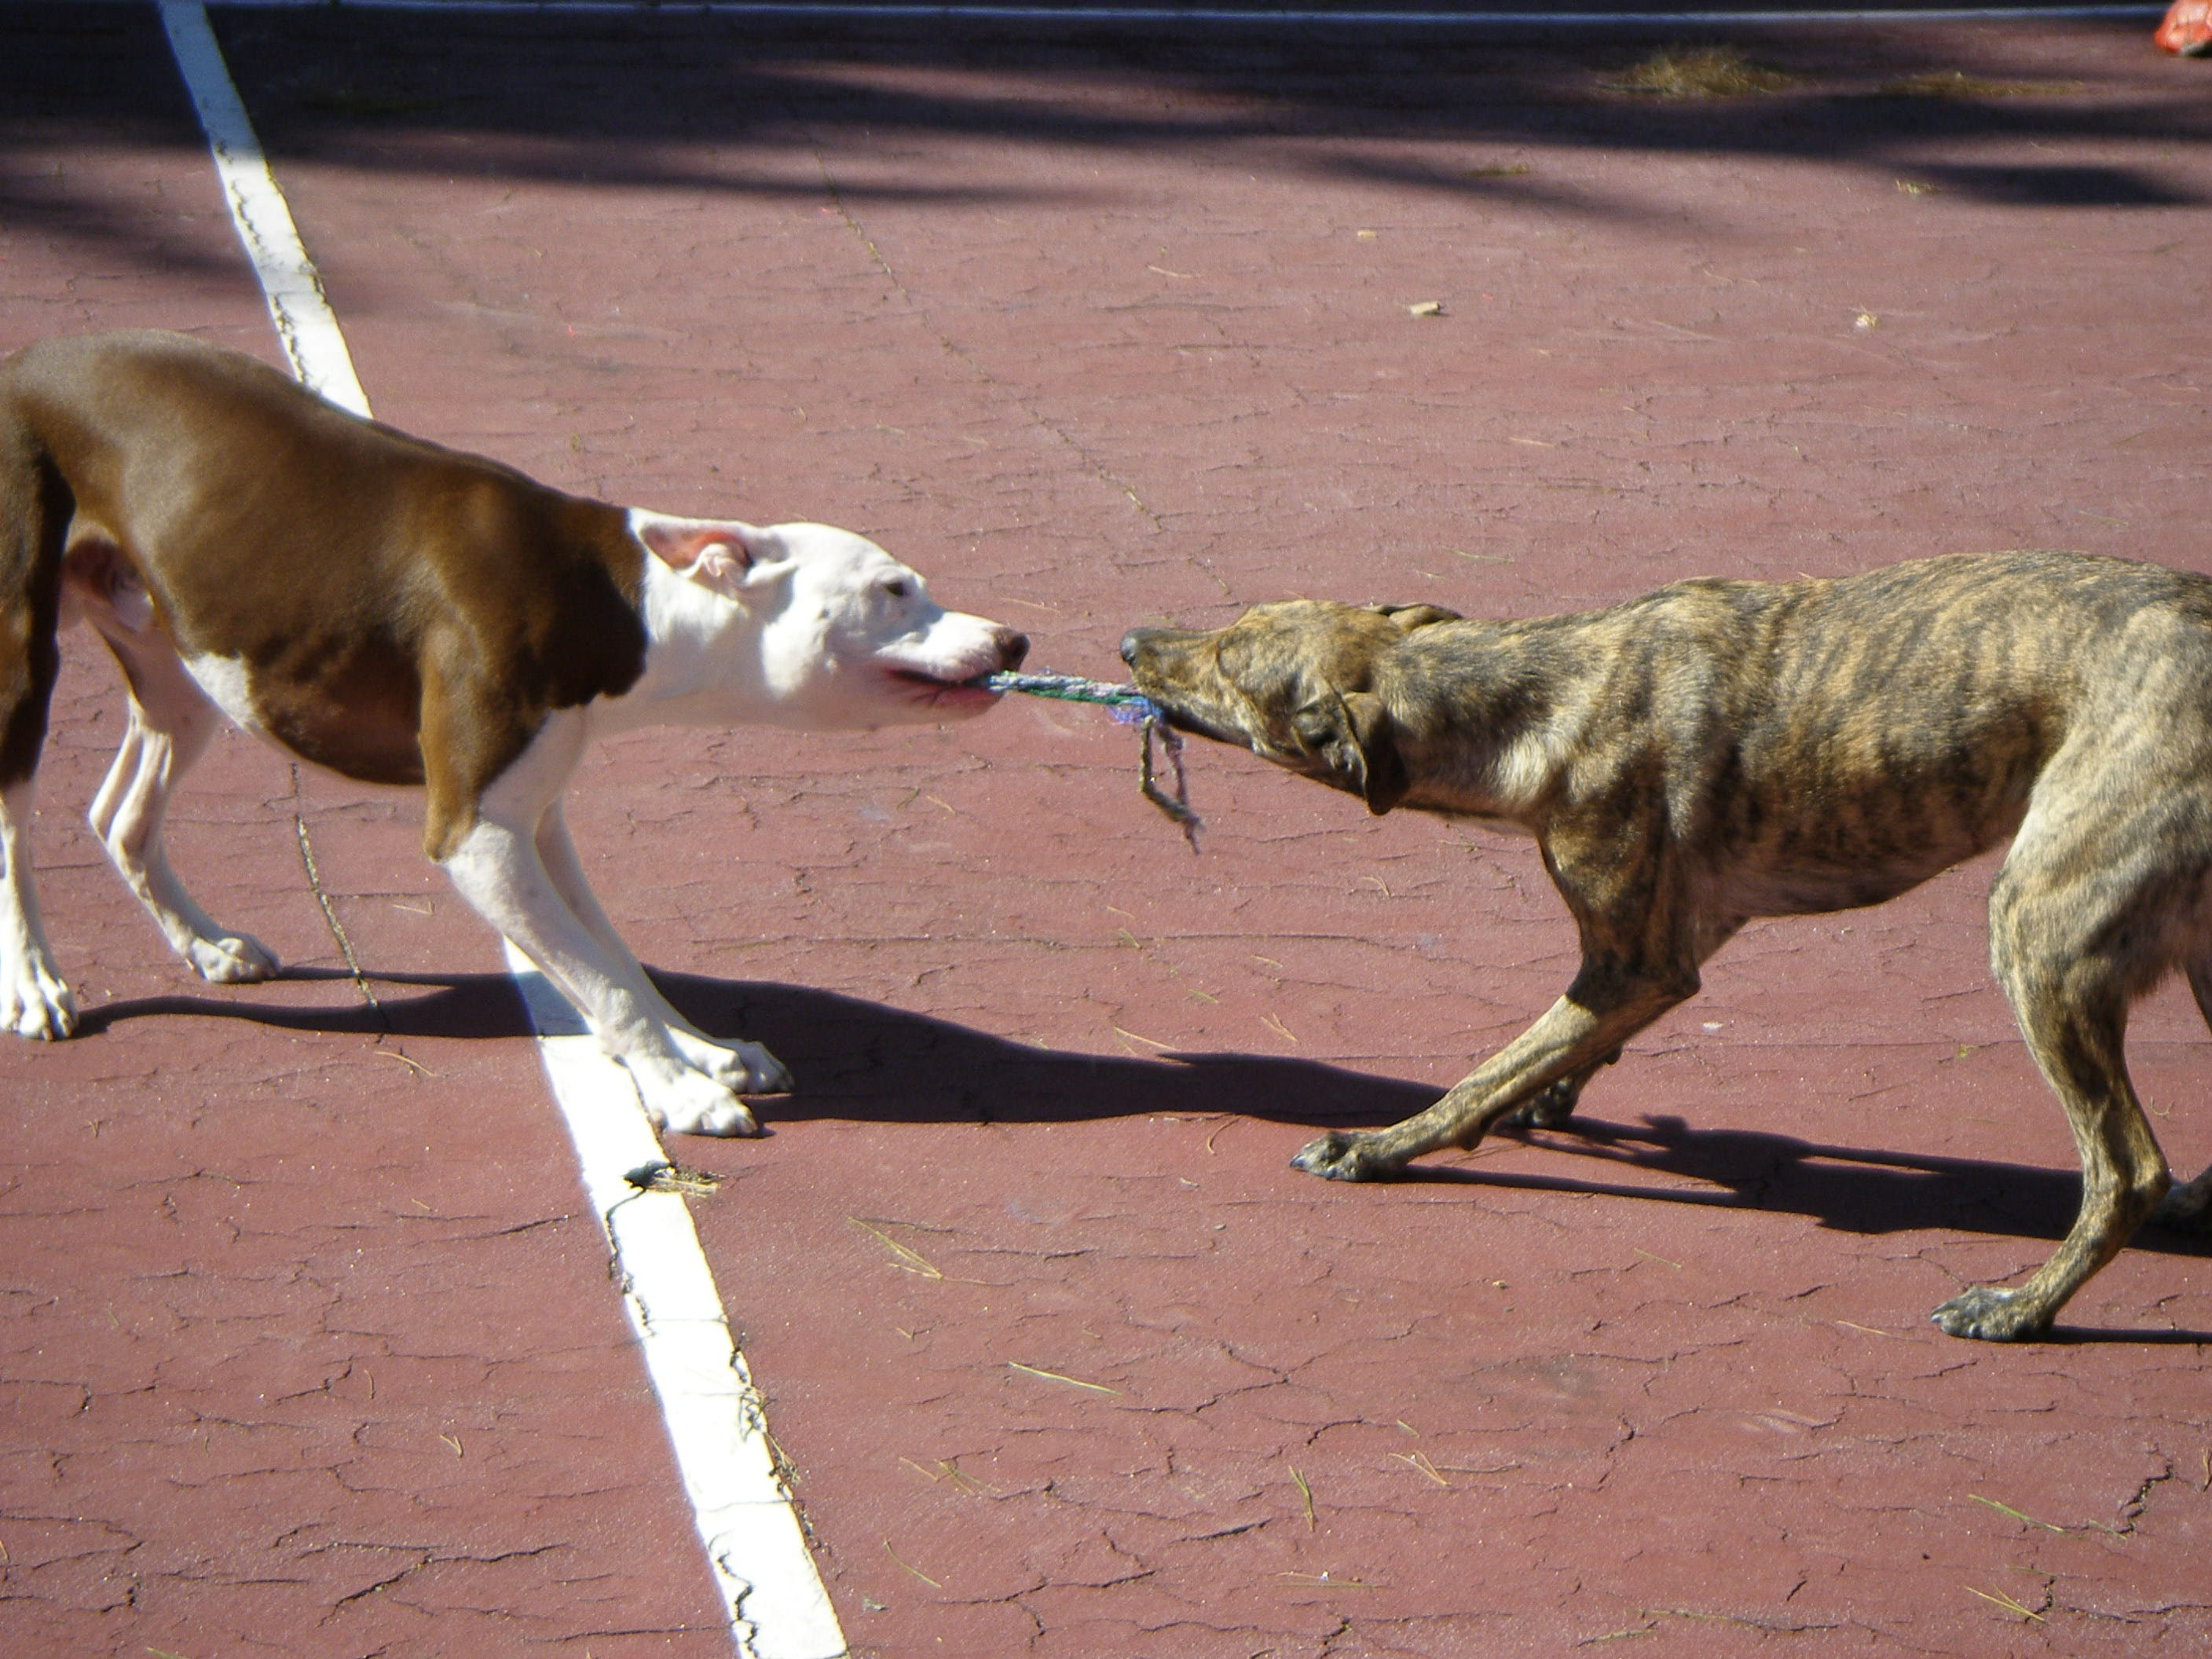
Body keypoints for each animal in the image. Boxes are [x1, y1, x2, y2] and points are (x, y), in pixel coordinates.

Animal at [0, 334, 1017, 1141]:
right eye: (893, 589)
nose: (1015, 641)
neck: (614, 599)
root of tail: (25, 357)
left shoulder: (536, 821)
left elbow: (612, 954)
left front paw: (702, 1048)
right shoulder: (476, 839)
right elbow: (601, 983)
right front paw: (679, 1090)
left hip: (184, 676)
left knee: (120, 816)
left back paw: (207, 946)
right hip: (20, 665)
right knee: (16, 825)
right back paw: (36, 986)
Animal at [1123, 553, 2212, 1345]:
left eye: (1227, 668)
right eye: (1227, 627)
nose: (1130, 638)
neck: (1532, 693)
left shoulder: (1638, 961)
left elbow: (1481, 1073)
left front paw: (1381, 1145)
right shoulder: (1669, 938)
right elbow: (1558, 1049)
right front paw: (1553, 1097)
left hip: (2036, 937)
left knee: (2124, 1170)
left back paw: (2021, 1308)